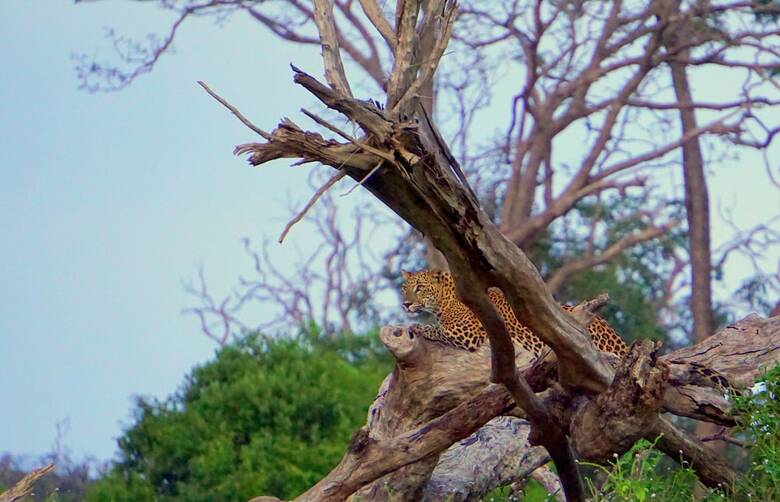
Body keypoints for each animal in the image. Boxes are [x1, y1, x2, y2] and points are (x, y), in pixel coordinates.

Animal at [400, 269, 628, 357]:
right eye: (404, 288)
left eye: (420, 287)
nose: (405, 304)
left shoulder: (467, 333)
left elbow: (436, 329)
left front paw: (416, 326)